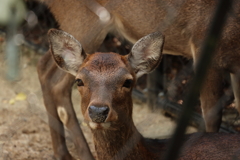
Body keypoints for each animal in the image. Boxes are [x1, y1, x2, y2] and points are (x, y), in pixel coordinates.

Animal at [37, 0, 240, 159]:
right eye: (79, 81)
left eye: (128, 82)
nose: (98, 111)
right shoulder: (203, 43)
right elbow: (212, 118)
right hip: (83, 19)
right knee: (54, 79)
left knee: (44, 68)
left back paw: (62, 152)